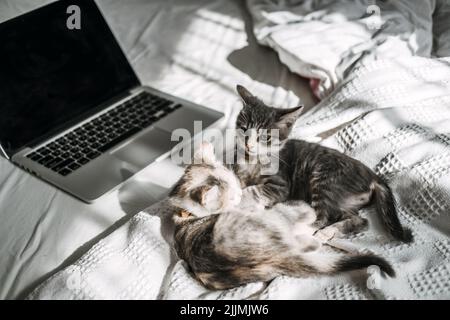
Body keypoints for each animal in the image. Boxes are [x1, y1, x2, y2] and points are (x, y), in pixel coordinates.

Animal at [169, 142, 394, 290]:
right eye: (231, 196)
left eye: (234, 182)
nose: (239, 193)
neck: (185, 217)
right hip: (315, 196)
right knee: (321, 220)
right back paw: (324, 233)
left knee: (354, 223)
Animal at [234, 85, 414, 242]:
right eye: (244, 129)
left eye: (265, 137)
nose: (248, 145)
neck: (253, 160)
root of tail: (373, 176)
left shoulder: (281, 185)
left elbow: (255, 189)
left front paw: (240, 197)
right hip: (344, 201)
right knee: (361, 221)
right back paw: (328, 233)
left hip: (325, 181)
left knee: (323, 216)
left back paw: (302, 230)